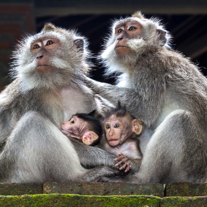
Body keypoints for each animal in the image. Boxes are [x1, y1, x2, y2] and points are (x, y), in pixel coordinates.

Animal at [0, 23, 118, 184]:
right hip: (12, 169)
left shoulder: (83, 94)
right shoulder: (34, 96)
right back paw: (79, 176)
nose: (38, 56)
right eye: (36, 47)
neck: (56, 85)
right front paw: (110, 158)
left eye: (49, 43)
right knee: (34, 121)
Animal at [84, 11, 207, 183]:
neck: (145, 53)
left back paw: (141, 178)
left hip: (192, 165)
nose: (119, 38)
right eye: (119, 30)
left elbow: (145, 109)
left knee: (179, 119)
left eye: (132, 28)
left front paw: (87, 81)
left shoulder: (150, 68)